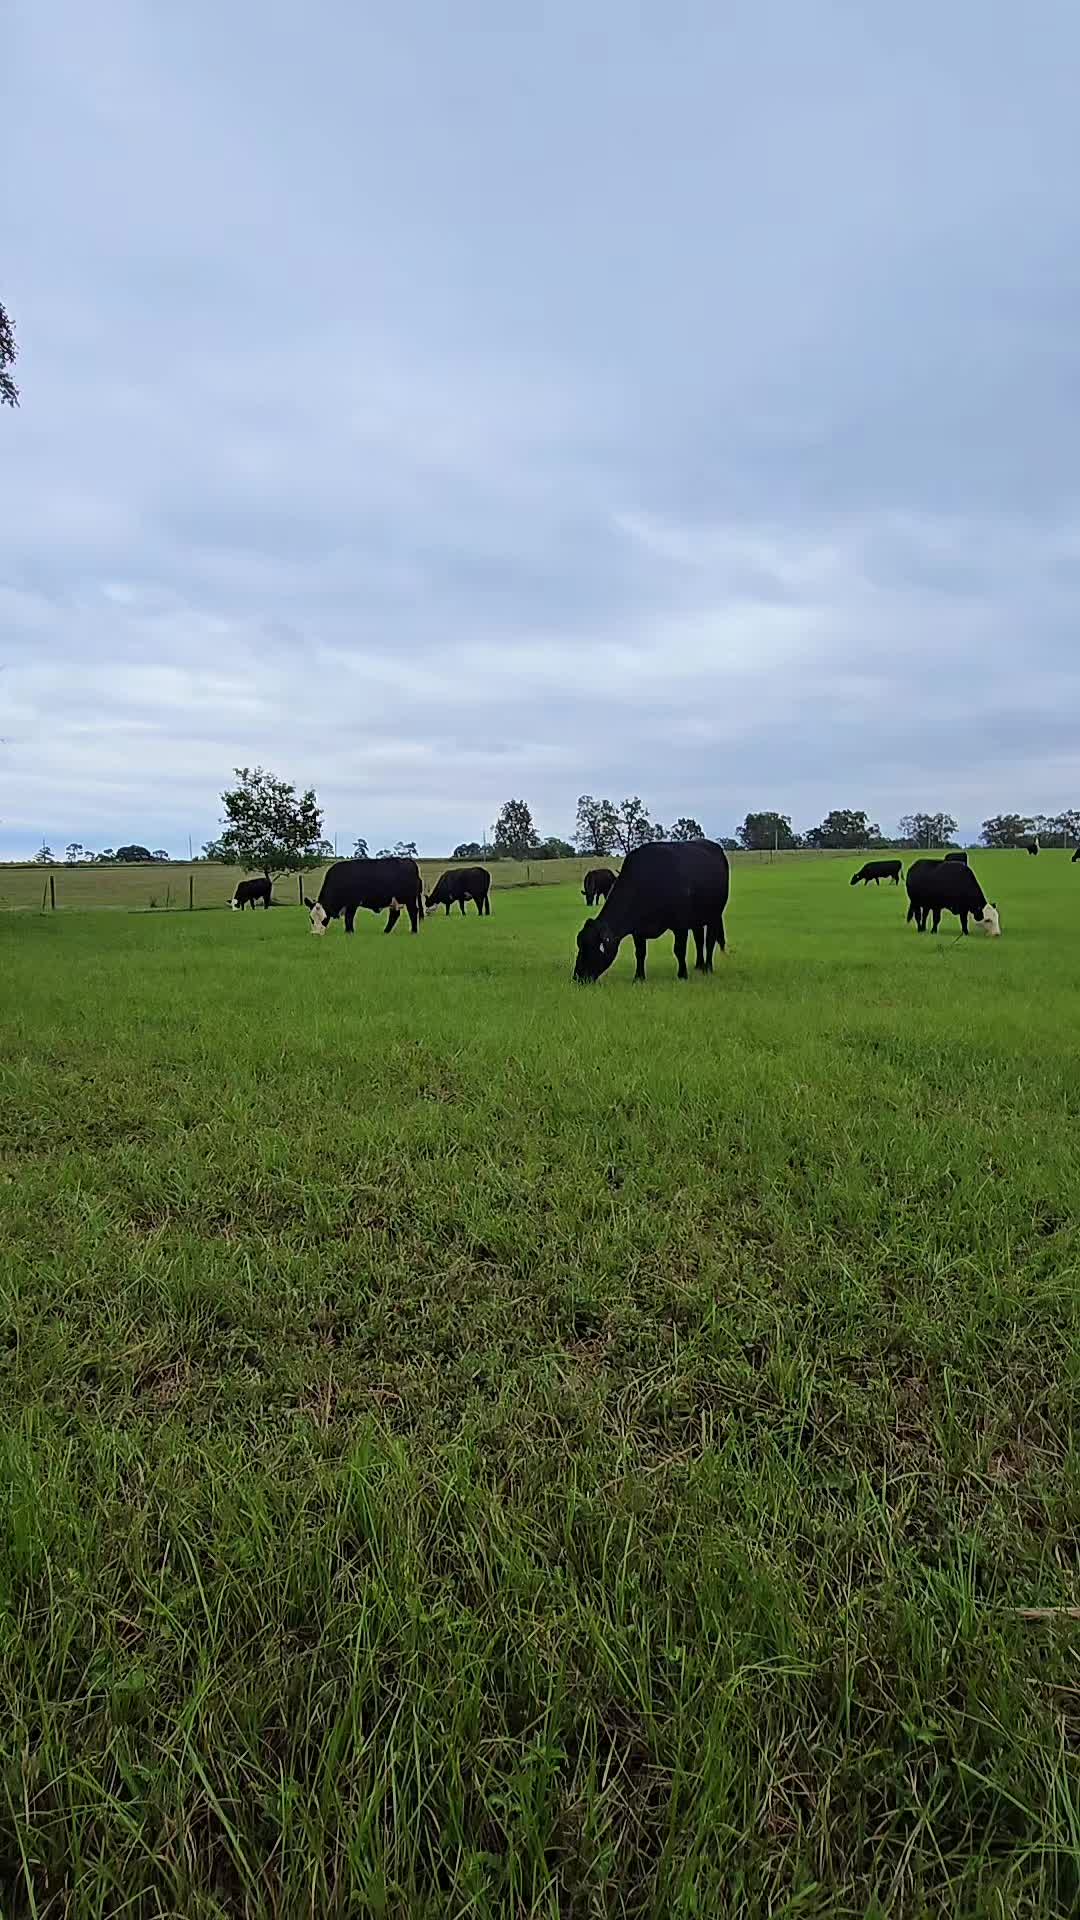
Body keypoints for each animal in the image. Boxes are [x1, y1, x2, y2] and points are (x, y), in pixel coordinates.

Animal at [574, 840, 730, 983]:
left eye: (590, 948)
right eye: (580, 946)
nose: (577, 976)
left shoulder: (680, 925)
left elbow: (679, 950)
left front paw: (682, 975)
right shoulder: (637, 930)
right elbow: (640, 953)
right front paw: (639, 977)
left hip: (714, 916)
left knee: (709, 941)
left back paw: (708, 968)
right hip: (697, 921)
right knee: (699, 940)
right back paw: (699, 966)